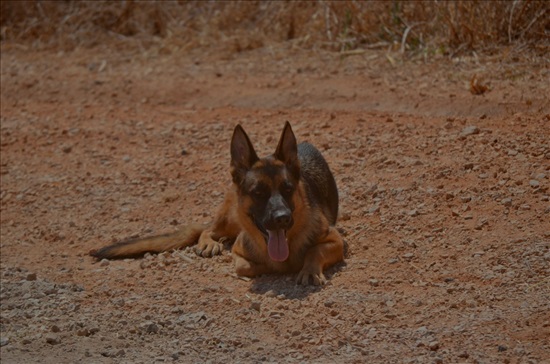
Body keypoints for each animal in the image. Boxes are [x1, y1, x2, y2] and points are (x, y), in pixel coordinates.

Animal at [94, 122, 344, 284]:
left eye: (288, 189)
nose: (282, 218)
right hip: (229, 219)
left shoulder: (336, 240)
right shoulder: (240, 250)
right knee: (207, 230)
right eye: (258, 192)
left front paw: (307, 269)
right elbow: (244, 265)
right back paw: (209, 242)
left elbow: (315, 251)